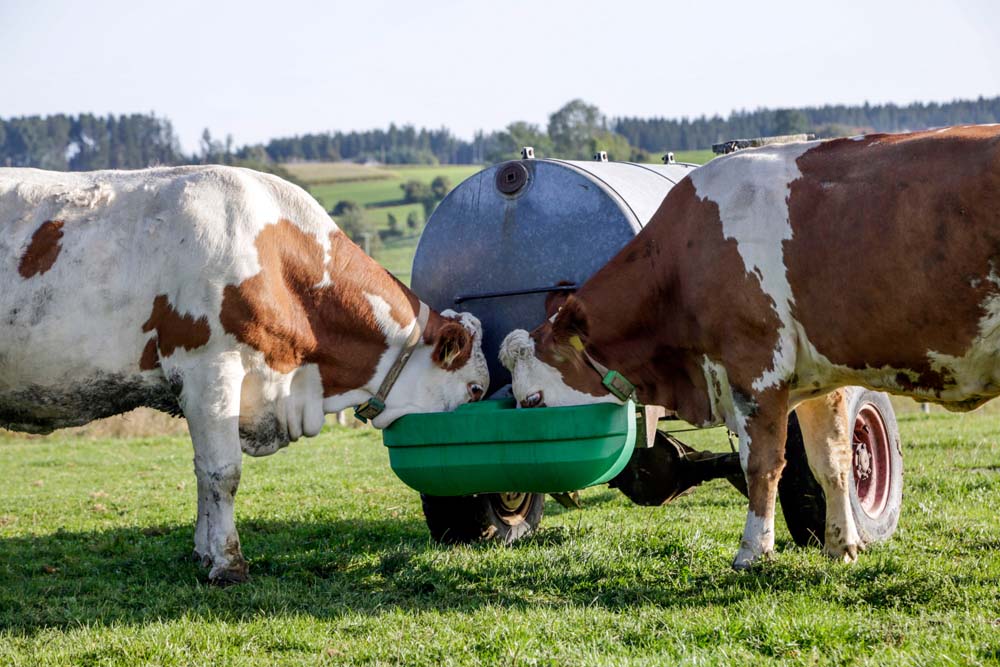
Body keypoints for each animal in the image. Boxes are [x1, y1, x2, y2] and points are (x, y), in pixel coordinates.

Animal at [0, 166, 488, 584]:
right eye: (475, 388)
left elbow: (202, 472)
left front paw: (203, 553)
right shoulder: (208, 369)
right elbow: (222, 472)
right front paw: (228, 564)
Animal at [504, 128, 1000, 572]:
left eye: (533, 400)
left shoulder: (756, 366)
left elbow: (761, 463)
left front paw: (753, 551)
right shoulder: (822, 379)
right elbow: (832, 460)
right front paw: (840, 546)